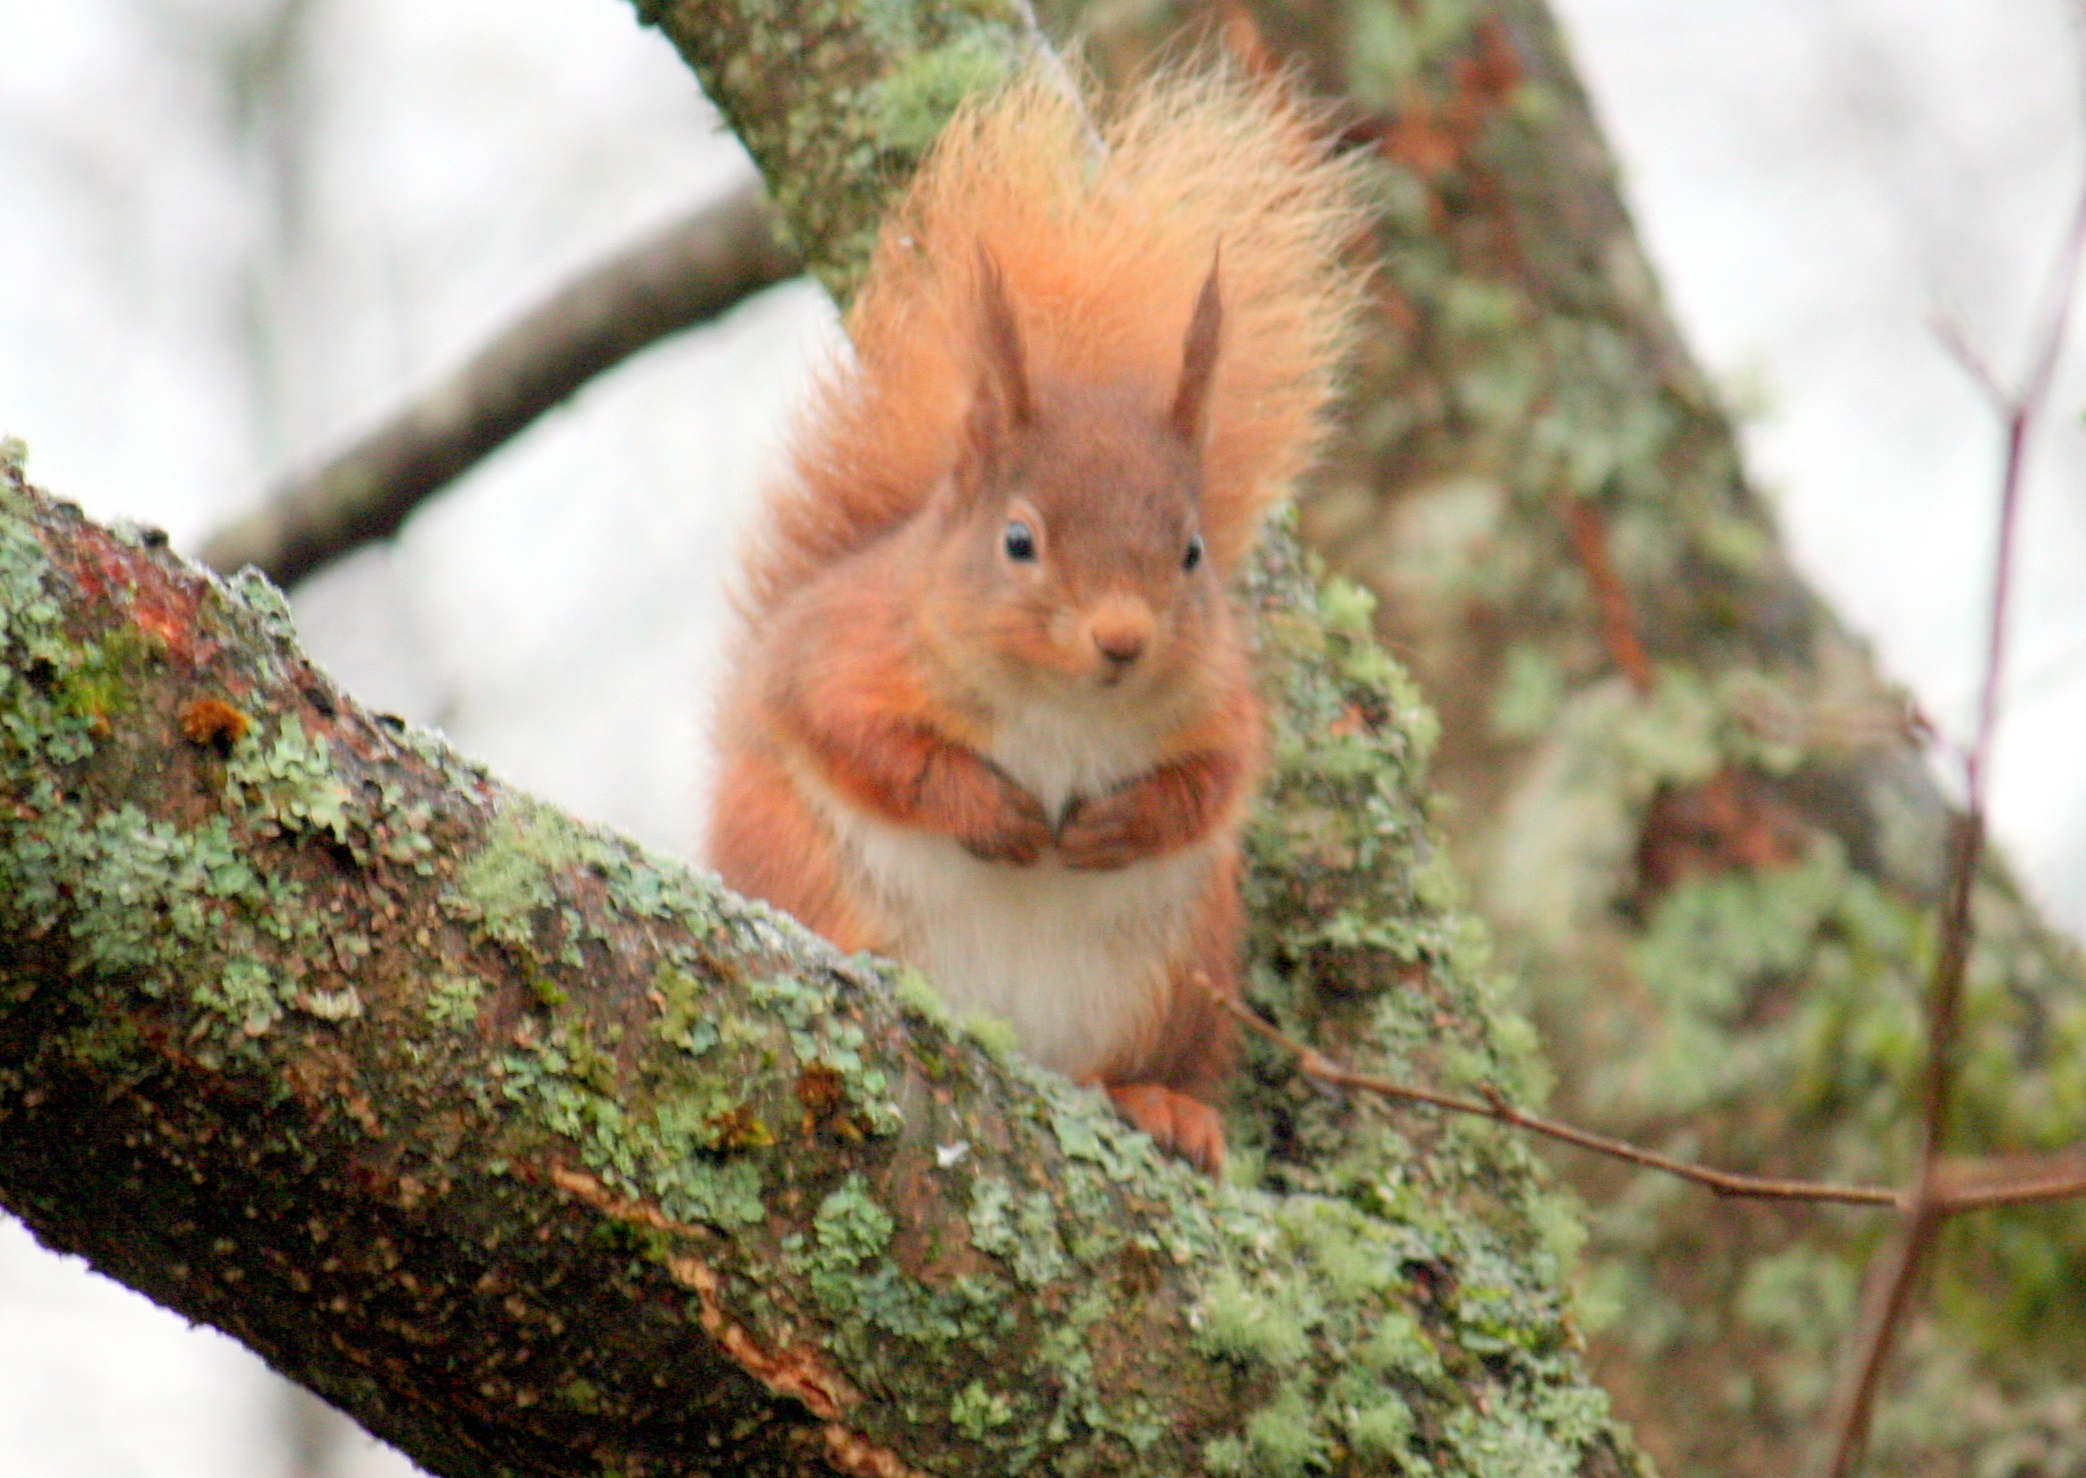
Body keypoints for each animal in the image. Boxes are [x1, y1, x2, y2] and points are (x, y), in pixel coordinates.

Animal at [707, 63, 1365, 1172]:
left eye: (1193, 552)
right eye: (1018, 540)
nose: (1122, 639)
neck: (1063, 710)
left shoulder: (1221, 704)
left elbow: (1214, 782)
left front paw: (1116, 824)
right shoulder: (846, 651)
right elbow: (859, 739)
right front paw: (992, 810)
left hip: (1181, 978)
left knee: (1141, 1062)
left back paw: (1165, 1103)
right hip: (792, 860)